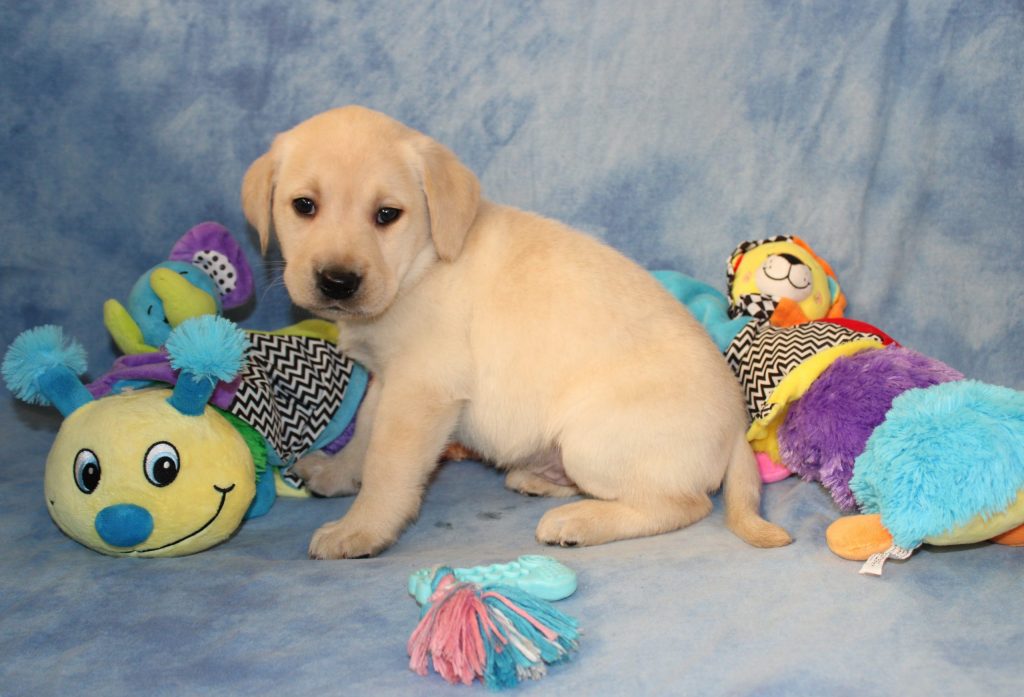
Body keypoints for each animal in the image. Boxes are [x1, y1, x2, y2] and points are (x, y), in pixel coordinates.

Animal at [241, 106, 792, 559]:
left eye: (386, 215)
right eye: (304, 206)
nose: (337, 281)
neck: (423, 263)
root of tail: (736, 432)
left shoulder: (421, 390)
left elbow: (387, 467)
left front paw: (360, 529)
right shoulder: (387, 380)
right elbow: (363, 435)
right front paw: (338, 474)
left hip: (593, 440)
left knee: (681, 504)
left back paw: (577, 521)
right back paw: (542, 480)